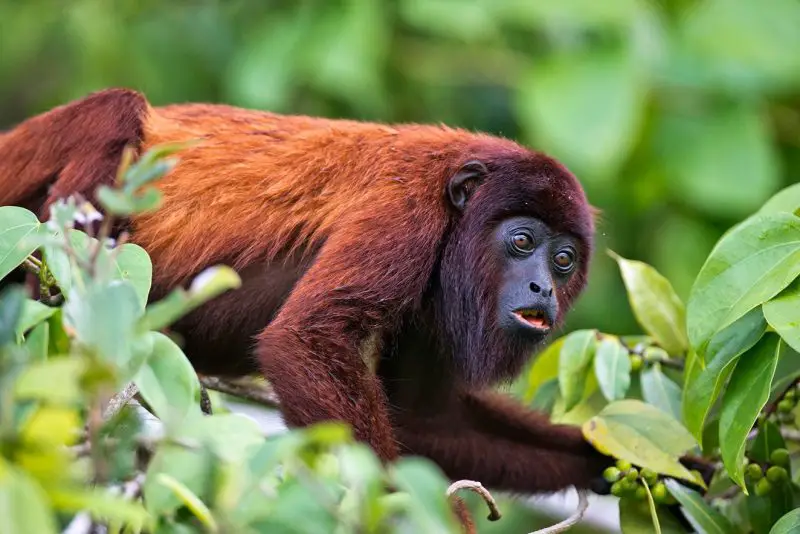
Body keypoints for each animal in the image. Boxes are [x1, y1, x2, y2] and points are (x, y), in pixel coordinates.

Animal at [0, 89, 613, 500]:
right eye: (522, 241)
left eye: (563, 260)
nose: (542, 286)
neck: (459, 199)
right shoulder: (405, 213)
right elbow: (306, 339)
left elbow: (427, 421)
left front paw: (601, 459)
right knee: (117, 109)